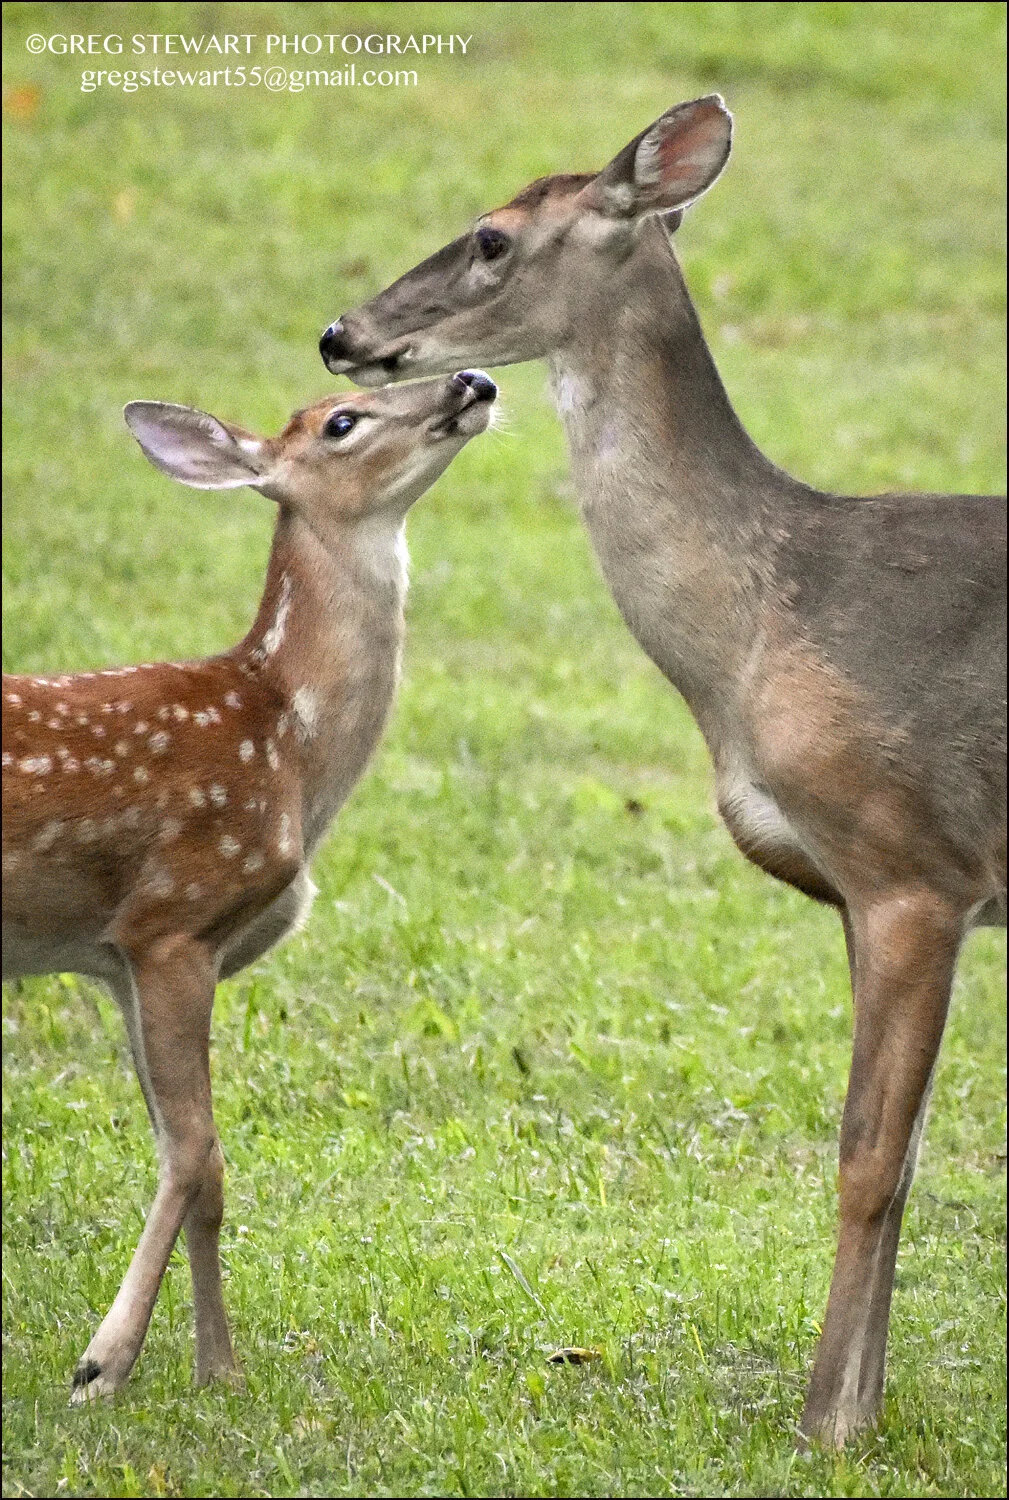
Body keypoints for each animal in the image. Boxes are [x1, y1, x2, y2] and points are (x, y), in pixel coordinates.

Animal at [1, 369, 498, 1401]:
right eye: (343, 420)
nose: (472, 380)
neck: (289, 744)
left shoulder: (114, 958)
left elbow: (201, 1164)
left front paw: (217, 1368)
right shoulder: (173, 920)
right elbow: (194, 1152)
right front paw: (103, 1362)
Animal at [319, 95, 1007, 1445]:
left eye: (491, 235)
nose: (342, 334)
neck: (762, 627)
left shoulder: (917, 866)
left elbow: (865, 1153)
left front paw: (826, 1425)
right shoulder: (859, 889)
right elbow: (902, 1154)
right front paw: (861, 1405)